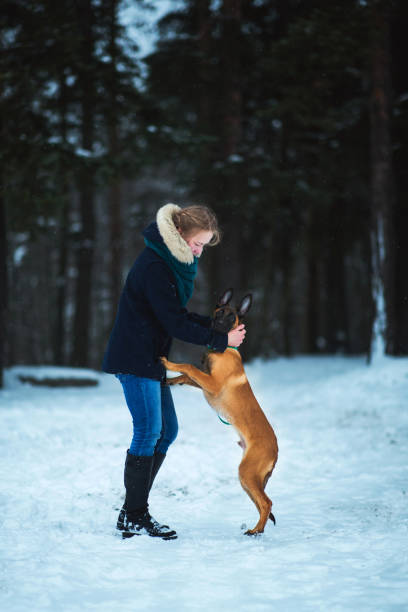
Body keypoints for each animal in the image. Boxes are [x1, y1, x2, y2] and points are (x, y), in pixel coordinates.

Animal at [161, 290, 278, 532]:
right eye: (218, 312)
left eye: (231, 316)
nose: (217, 324)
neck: (223, 349)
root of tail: (276, 451)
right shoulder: (205, 381)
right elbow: (187, 374)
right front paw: (171, 379)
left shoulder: (212, 384)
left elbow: (188, 366)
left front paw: (168, 363)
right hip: (248, 479)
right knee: (263, 503)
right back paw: (258, 528)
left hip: (247, 472)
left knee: (266, 502)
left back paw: (256, 531)